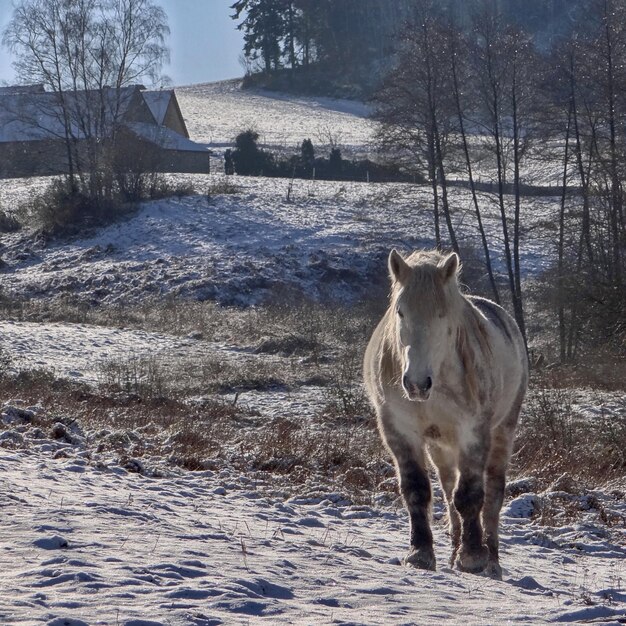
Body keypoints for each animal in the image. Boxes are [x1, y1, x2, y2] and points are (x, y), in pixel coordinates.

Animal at [360, 247, 528, 576]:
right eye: (400, 311)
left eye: (443, 314)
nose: (416, 383)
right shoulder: (400, 431)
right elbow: (417, 490)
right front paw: (420, 553)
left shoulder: (473, 432)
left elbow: (471, 495)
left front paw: (473, 557)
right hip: (441, 445)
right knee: (449, 490)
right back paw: (453, 550)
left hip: (503, 431)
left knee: (493, 492)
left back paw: (492, 559)